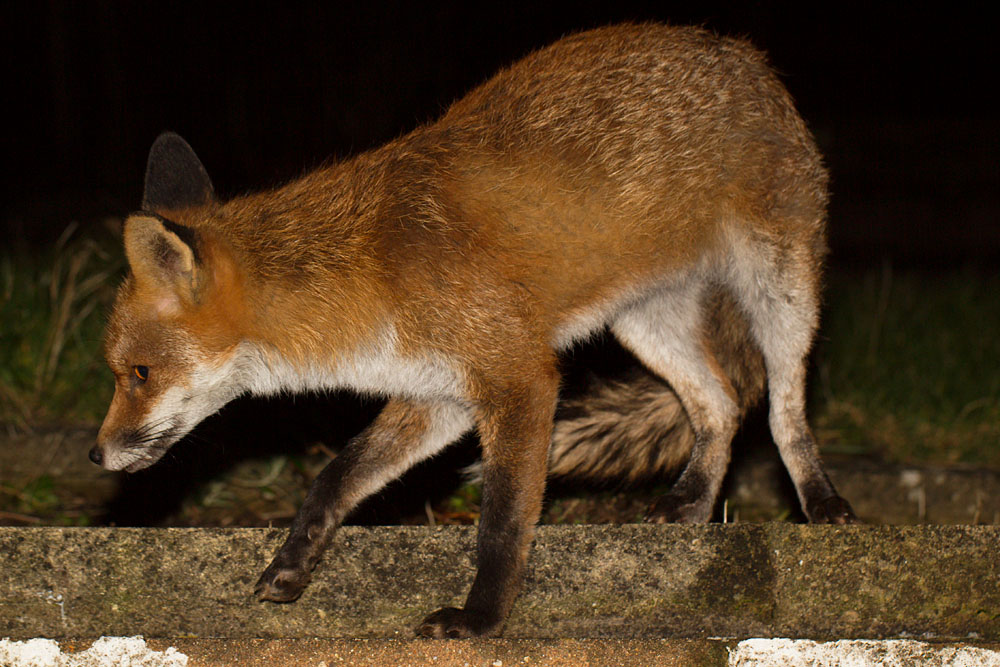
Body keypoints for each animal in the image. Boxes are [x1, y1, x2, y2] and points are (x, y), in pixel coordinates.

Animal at [92, 23, 856, 638]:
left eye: (138, 374)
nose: (96, 455)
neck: (366, 273)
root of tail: (737, 50)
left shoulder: (518, 379)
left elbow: (501, 523)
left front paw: (481, 618)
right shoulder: (439, 393)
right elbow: (337, 475)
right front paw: (293, 562)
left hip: (781, 287)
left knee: (781, 408)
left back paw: (822, 502)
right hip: (644, 322)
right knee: (719, 406)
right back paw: (692, 508)